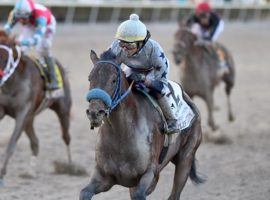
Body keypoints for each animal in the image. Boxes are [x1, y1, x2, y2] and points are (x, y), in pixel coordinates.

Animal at [0, 30, 71, 185]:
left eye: (4, 58)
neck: (13, 83)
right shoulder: (4, 110)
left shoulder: (22, 114)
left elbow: (11, 144)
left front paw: (2, 175)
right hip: (30, 119)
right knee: (35, 142)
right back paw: (30, 172)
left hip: (63, 110)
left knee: (66, 137)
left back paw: (71, 165)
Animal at [81, 48, 204, 200]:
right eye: (90, 78)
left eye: (113, 80)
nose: (94, 113)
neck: (121, 135)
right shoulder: (104, 177)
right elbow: (84, 192)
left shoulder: (150, 175)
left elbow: (140, 192)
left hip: (185, 159)